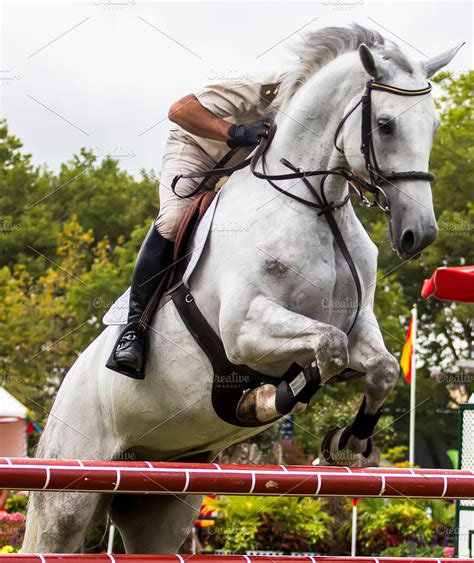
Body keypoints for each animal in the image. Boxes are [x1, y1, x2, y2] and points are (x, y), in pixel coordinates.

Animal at [21, 26, 460, 556]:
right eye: (385, 124)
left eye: (433, 126)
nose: (421, 234)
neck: (315, 205)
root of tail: (63, 389)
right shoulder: (244, 330)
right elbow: (326, 349)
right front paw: (265, 400)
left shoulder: (358, 324)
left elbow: (378, 368)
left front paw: (349, 444)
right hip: (69, 493)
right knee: (52, 531)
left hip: (163, 500)